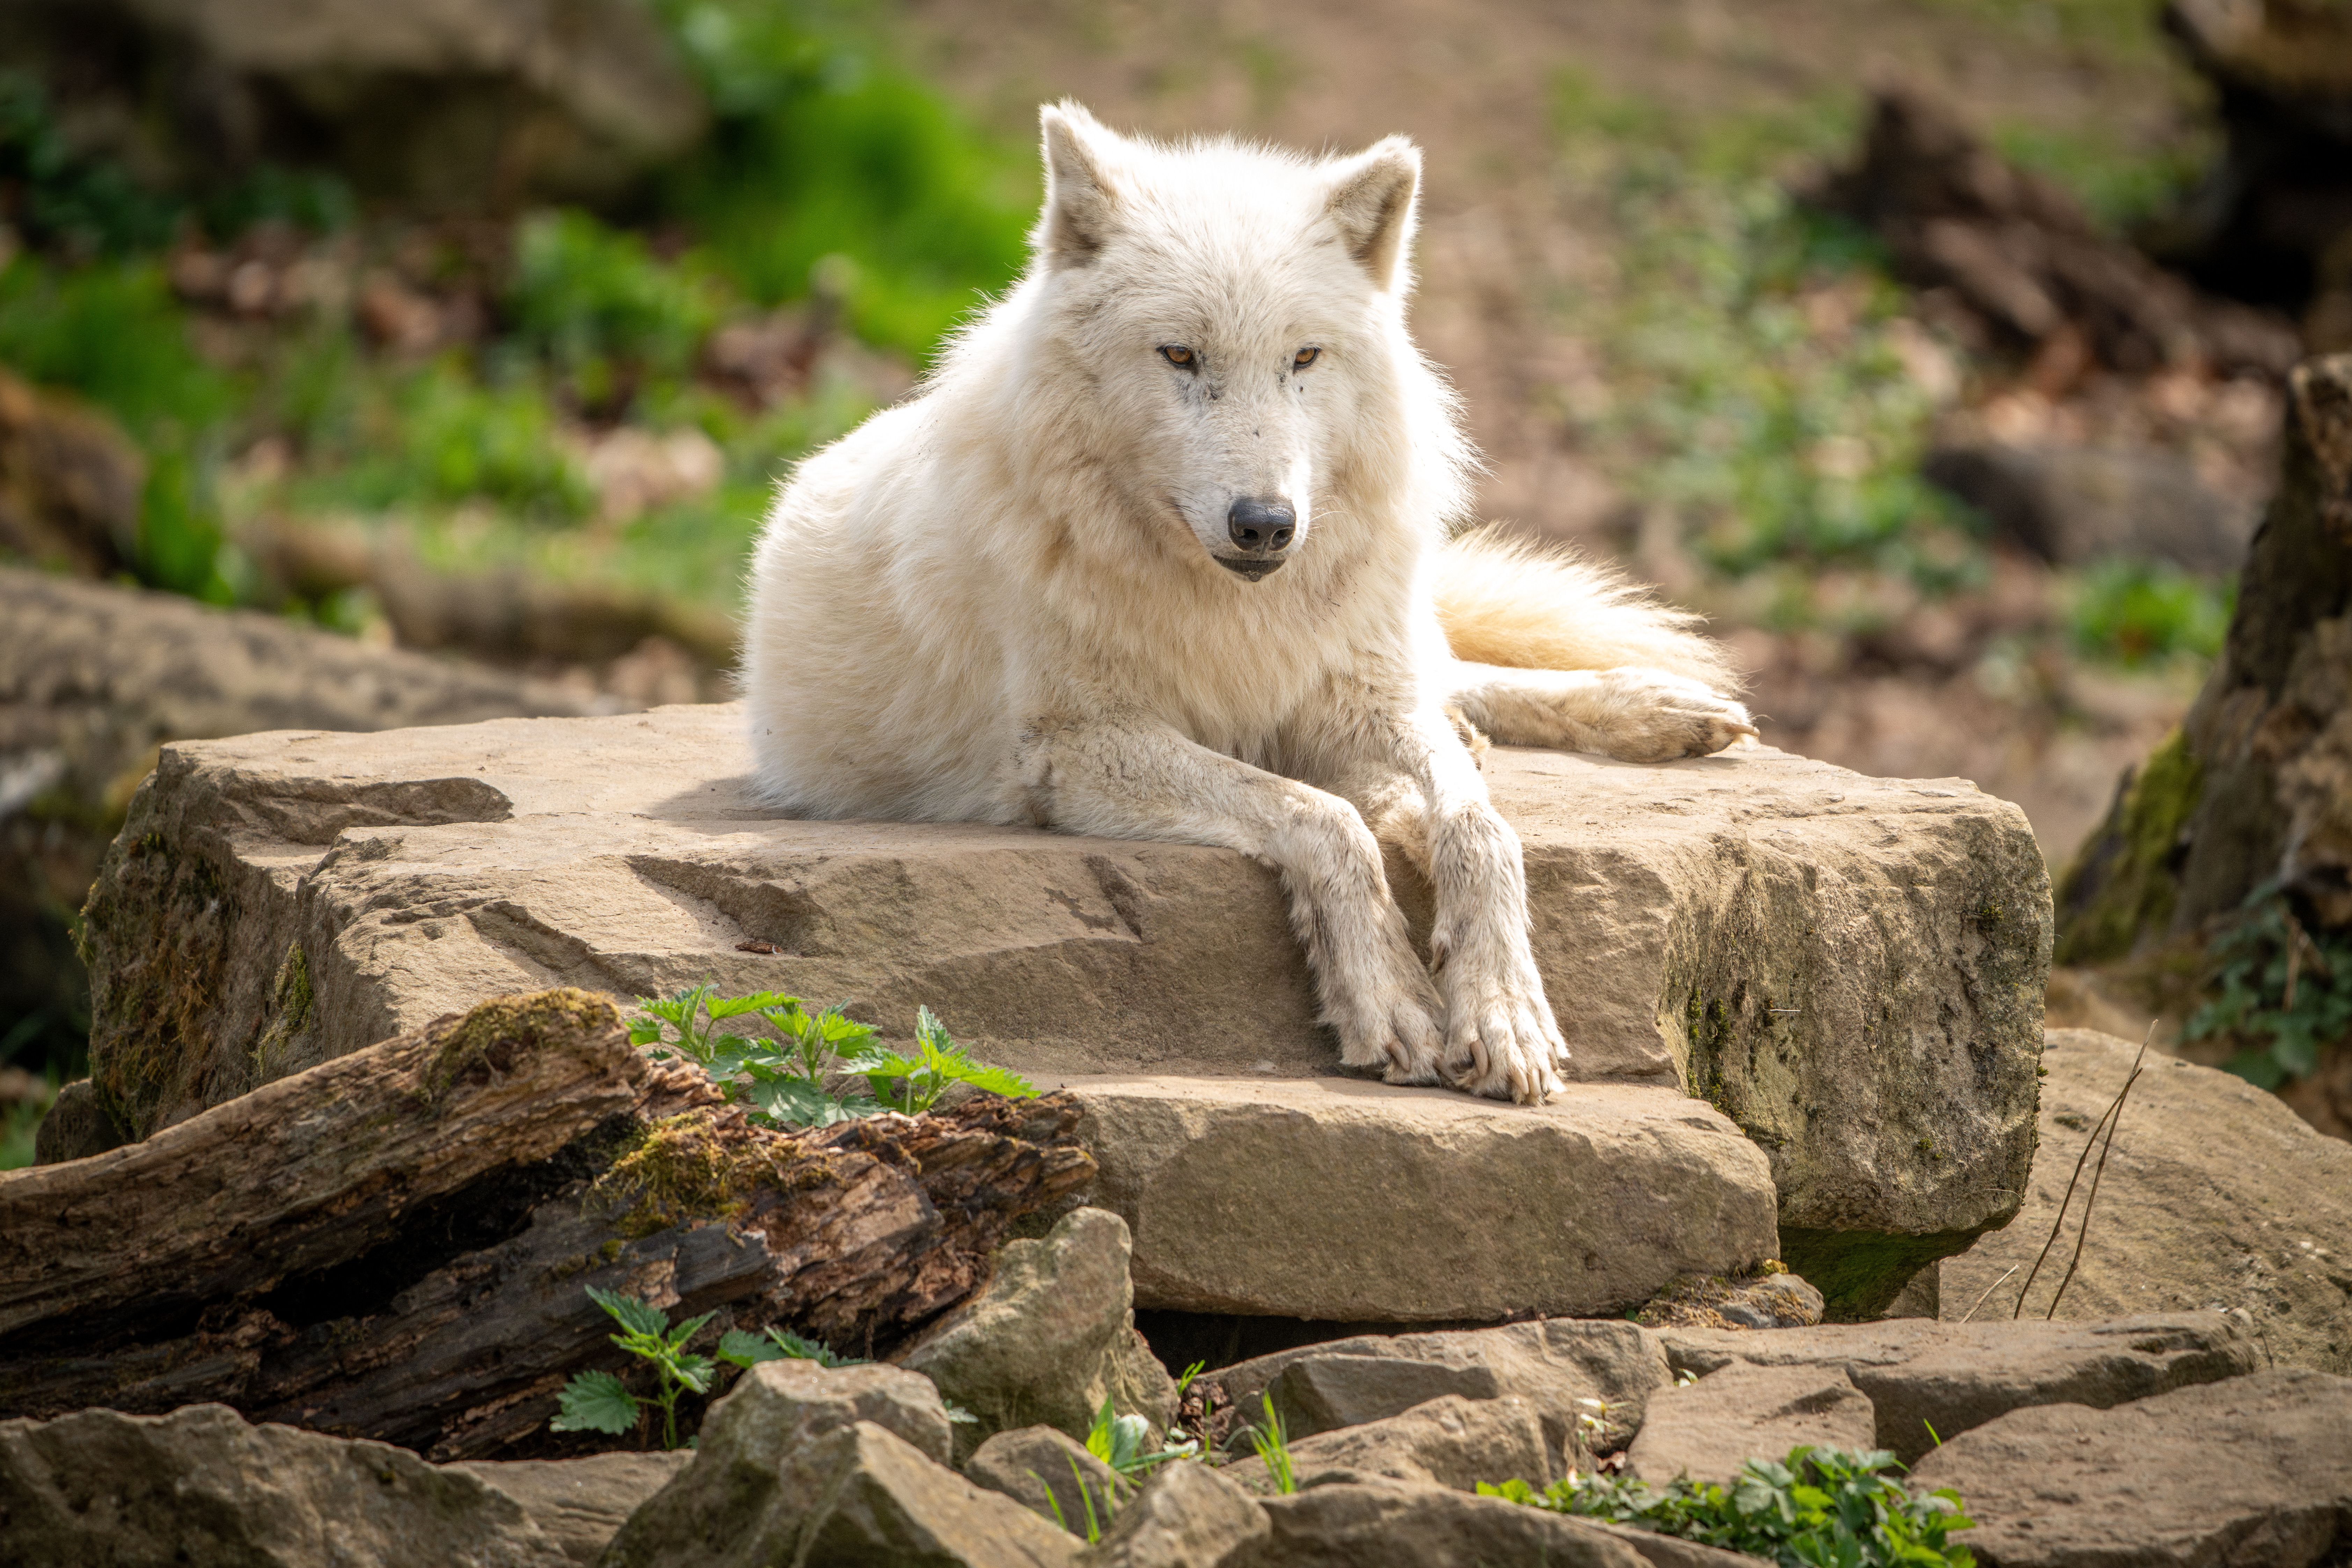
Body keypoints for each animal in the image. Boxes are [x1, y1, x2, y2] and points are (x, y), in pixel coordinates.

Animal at [743, 103, 1754, 1104]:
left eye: (1302, 357)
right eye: (1180, 355)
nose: (1265, 524)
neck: (1236, 612)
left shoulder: (1361, 702)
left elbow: (1480, 830)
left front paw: (1504, 1011)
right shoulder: (1075, 751)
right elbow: (1326, 821)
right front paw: (1390, 1001)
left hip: (1387, 648)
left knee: (1454, 684)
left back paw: (1657, 708)